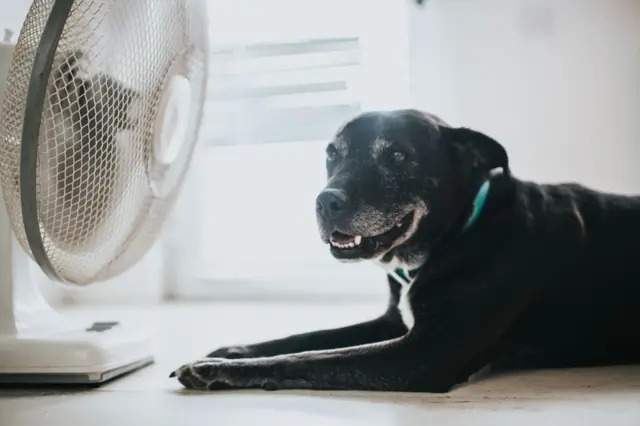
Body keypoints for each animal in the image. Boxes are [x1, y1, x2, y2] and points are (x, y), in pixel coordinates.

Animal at [170, 108, 640, 392]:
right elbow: (305, 338)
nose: (325, 202)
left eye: (397, 156)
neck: (458, 234)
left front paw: (214, 370)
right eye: (332, 153)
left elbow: (308, 358)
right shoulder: (392, 322)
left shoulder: (426, 353)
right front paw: (232, 351)